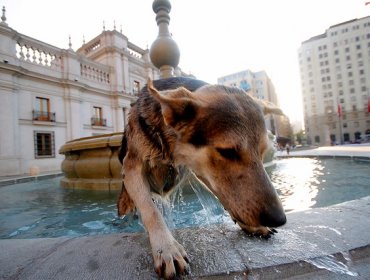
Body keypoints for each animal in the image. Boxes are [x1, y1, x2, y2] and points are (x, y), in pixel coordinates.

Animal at [117, 76, 284, 278]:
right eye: (227, 152)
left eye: (262, 152)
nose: (279, 219)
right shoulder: (132, 168)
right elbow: (152, 212)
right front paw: (166, 248)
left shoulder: (203, 171)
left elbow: (226, 196)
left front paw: (250, 225)